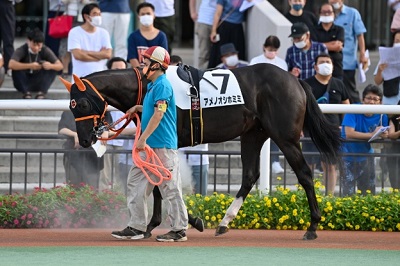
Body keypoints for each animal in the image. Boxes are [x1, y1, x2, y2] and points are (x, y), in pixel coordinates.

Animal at [61, 64, 340, 241]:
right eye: (71, 106)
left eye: (82, 103)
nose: (84, 139)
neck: (148, 85)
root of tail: (295, 80)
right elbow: (159, 182)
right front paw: (157, 225)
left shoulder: (165, 141)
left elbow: (162, 183)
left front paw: (171, 223)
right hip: (253, 134)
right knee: (250, 175)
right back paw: (225, 222)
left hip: (285, 137)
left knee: (304, 174)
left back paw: (313, 226)